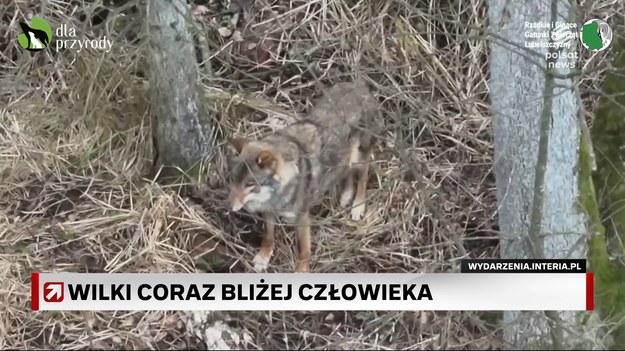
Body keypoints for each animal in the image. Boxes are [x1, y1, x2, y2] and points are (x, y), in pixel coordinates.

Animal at [227, 81, 378, 274]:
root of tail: (358, 85)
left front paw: (301, 271)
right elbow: (268, 236)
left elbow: (303, 250)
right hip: (344, 159)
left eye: (250, 183)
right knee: (347, 174)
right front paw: (263, 257)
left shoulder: (302, 218)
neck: (277, 193)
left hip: (360, 157)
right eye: (233, 179)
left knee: (363, 177)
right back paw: (346, 196)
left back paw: (357, 206)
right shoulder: (269, 212)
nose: (229, 206)